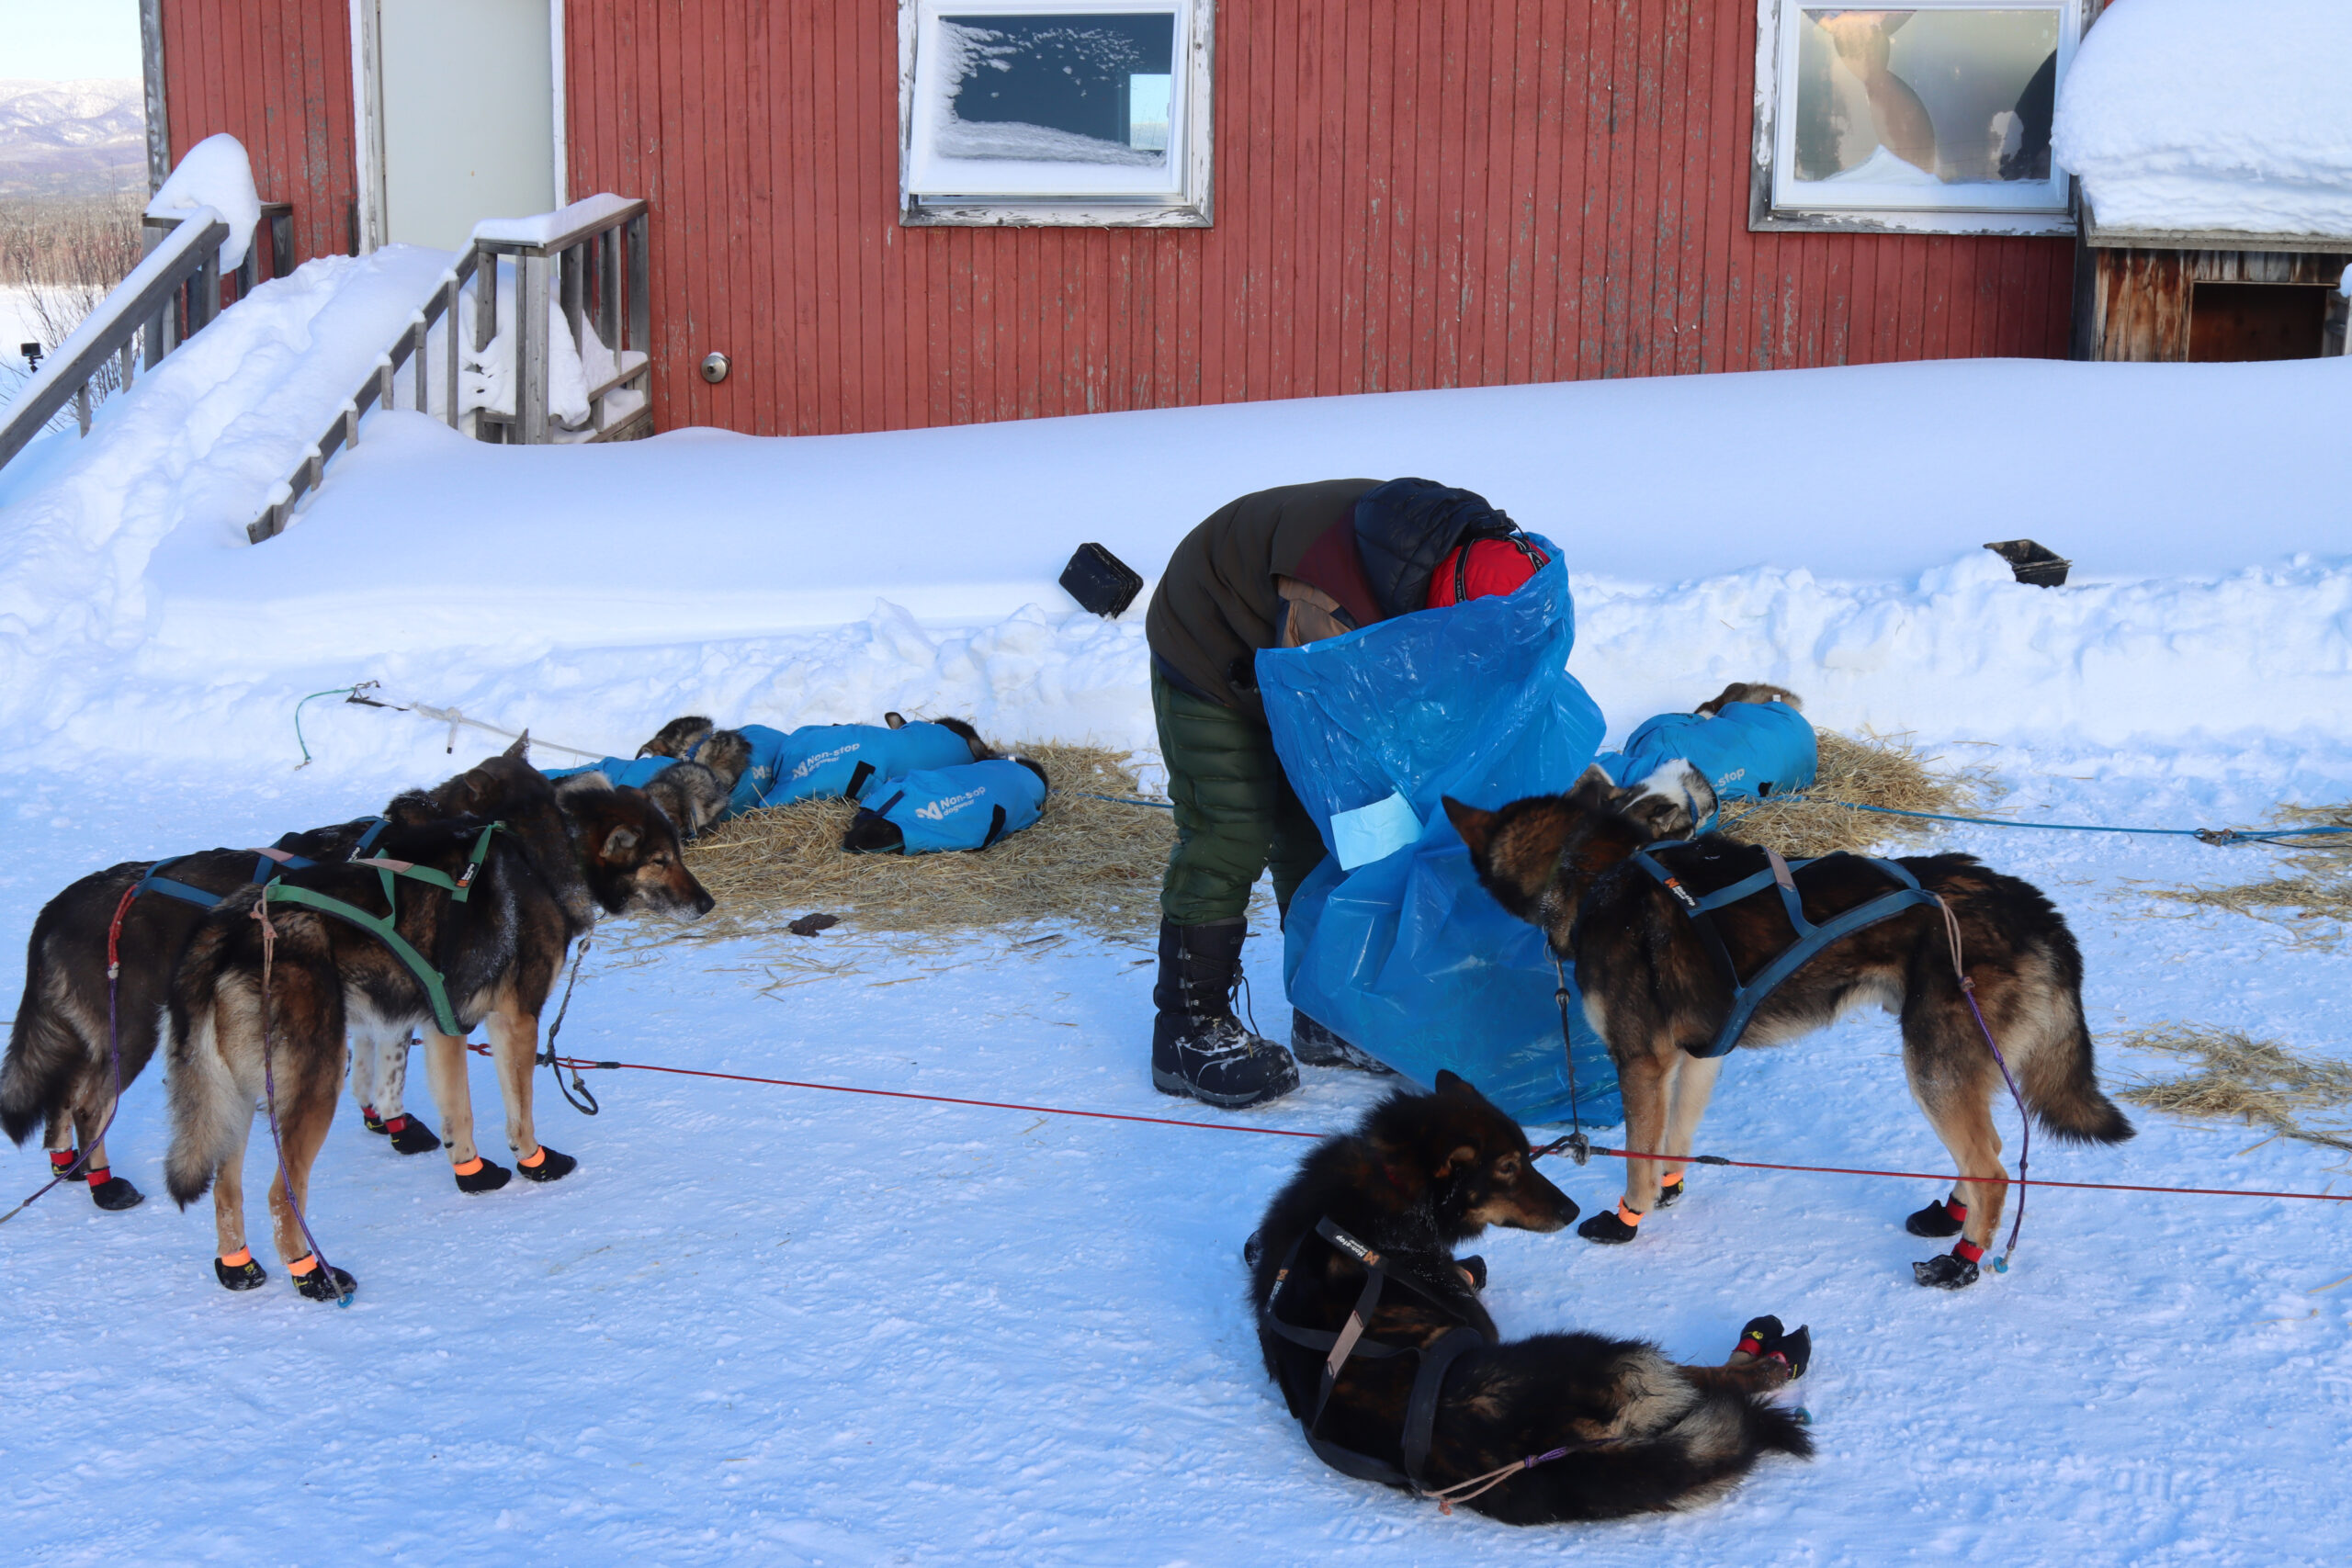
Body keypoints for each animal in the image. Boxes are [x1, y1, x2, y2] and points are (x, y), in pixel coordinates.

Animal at [162, 747, 710, 1297]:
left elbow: (457, 1112)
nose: (707, 902)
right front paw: (534, 1163)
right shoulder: (516, 1019)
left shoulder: (446, 1022)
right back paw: (313, 1275)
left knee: (226, 1191)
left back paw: (238, 1267)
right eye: (660, 860)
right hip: (312, 1086)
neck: (543, 852)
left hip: (234, 1100)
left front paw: (472, 1174)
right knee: (280, 1195)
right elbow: (521, 1110)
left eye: (678, 853)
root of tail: (227, 929)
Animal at [1250, 1072, 1815, 1523]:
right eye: (1507, 1167)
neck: (1389, 1185)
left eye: (1529, 1156)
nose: (1572, 1210)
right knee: (1705, 1378)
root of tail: (1535, 1455)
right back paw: (1769, 1360)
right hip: (1611, 1356)